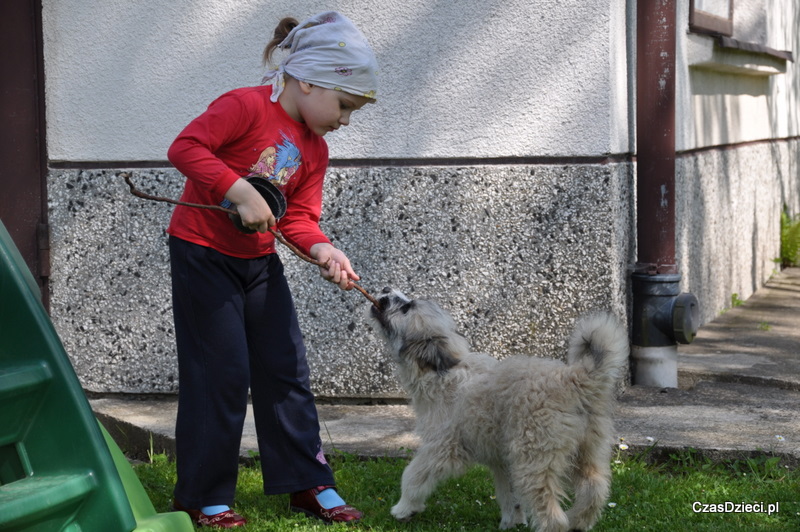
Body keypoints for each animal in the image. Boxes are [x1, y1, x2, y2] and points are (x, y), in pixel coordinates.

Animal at [370, 288, 632, 528]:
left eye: (407, 308)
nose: (385, 289)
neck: (439, 371)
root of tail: (574, 379)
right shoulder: (502, 461)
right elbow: (509, 496)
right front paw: (512, 522)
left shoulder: (442, 448)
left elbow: (412, 476)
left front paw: (404, 508)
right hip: (587, 450)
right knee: (594, 490)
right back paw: (578, 521)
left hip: (534, 460)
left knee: (553, 518)